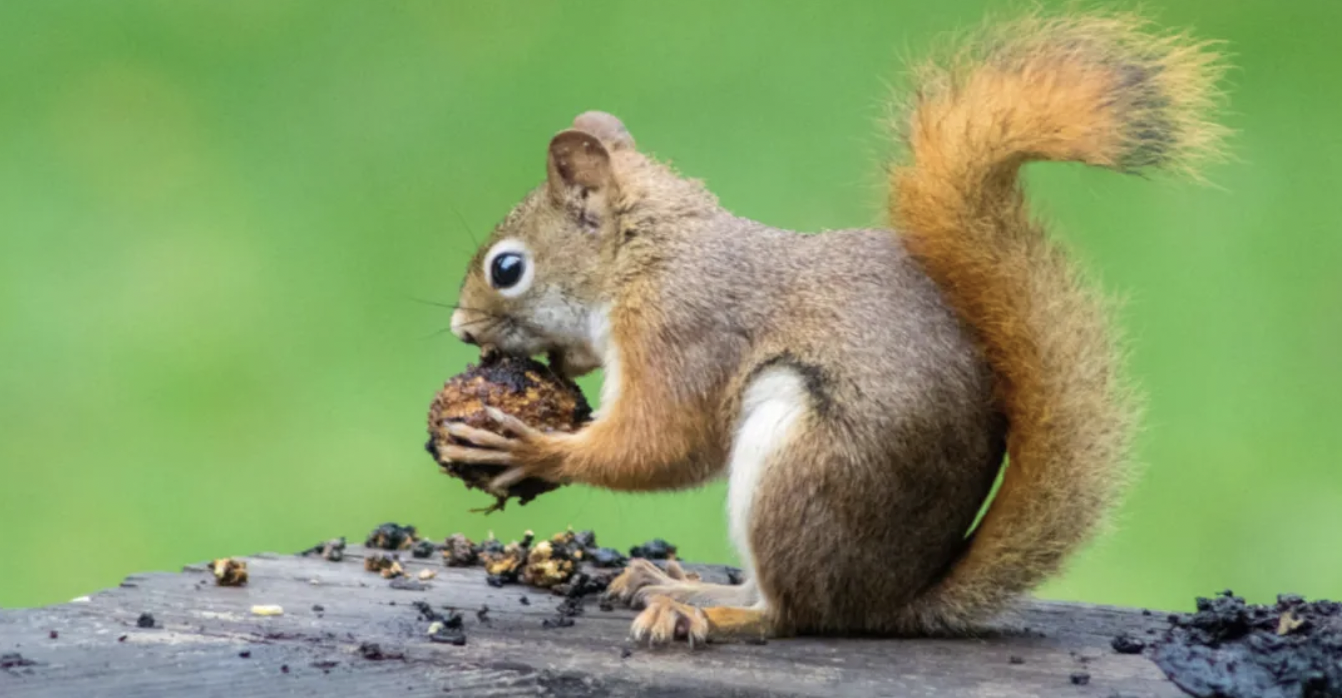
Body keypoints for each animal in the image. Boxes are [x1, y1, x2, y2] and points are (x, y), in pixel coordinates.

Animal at [437, 10, 1229, 644]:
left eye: (507, 268)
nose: (460, 329)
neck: (649, 256)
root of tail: (892, 602)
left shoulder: (683, 330)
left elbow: (663, 443)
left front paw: (530, 446)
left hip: (799, 464)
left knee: (789, 613)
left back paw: (705, 611)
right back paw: (673, 582)